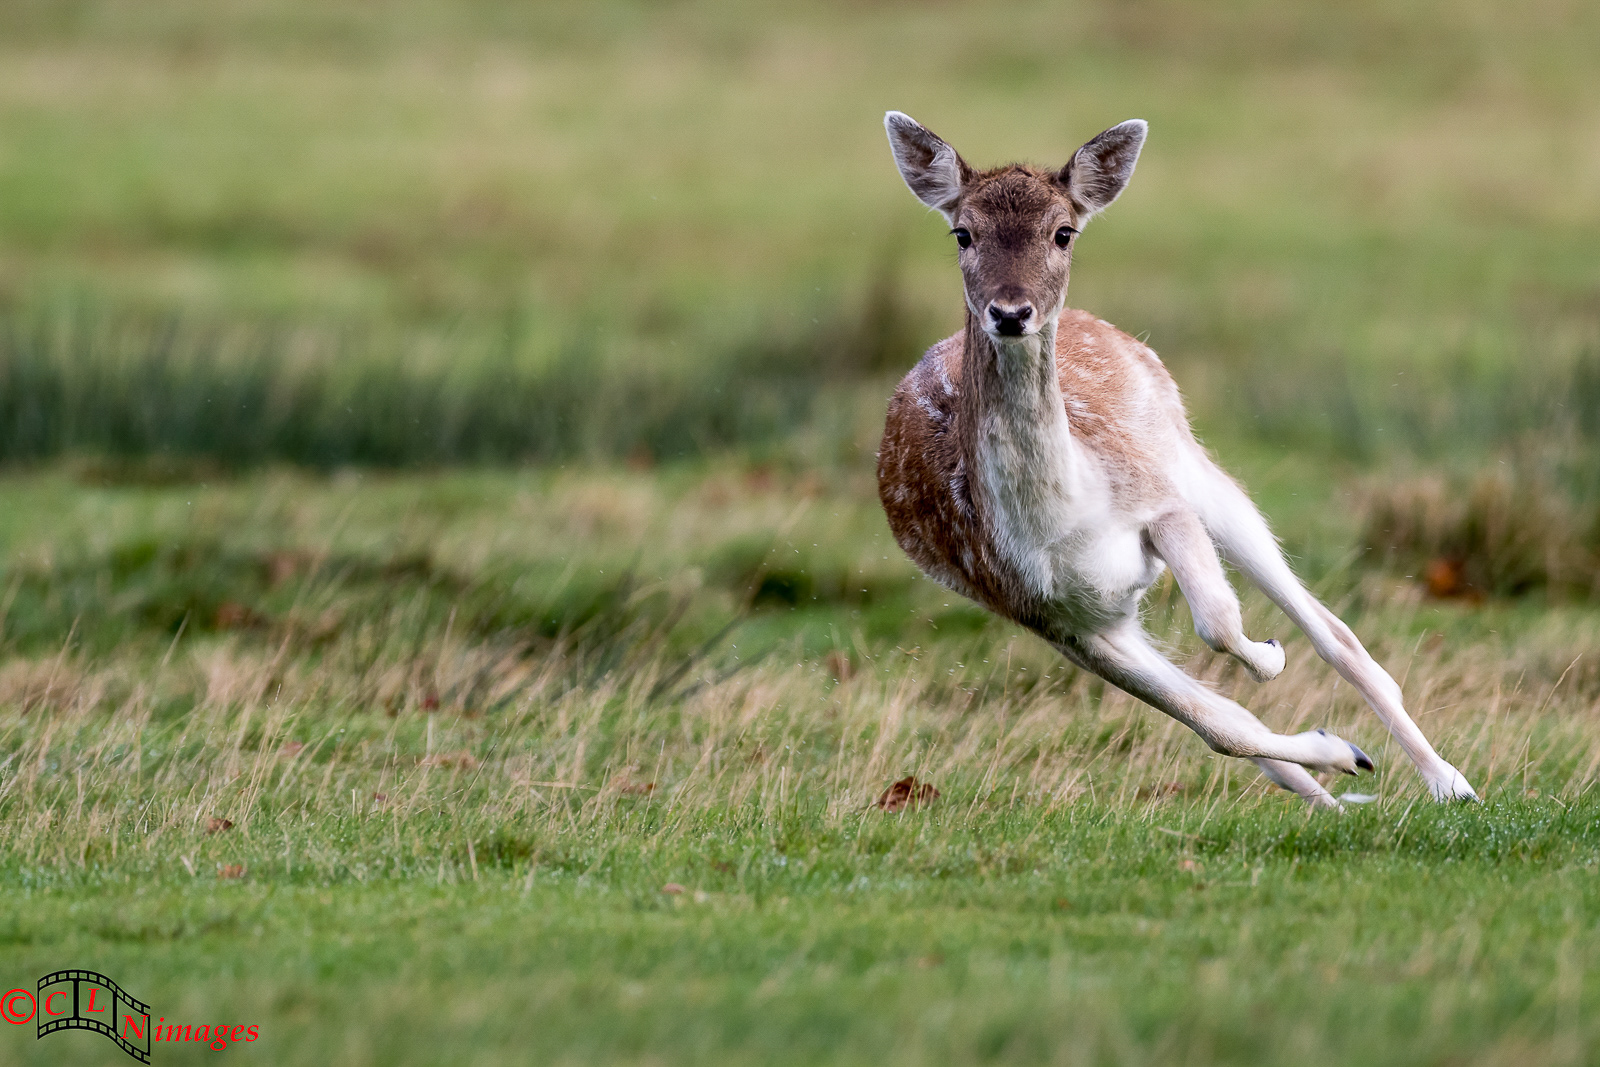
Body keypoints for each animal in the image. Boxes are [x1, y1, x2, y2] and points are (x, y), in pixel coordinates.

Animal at [876, 112, 1479, 807]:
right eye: (962, 232)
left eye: (1063, 231)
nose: (1010, 312)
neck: (1061, 523)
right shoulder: (1050, 616)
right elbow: (1222, 727)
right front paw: (1343, 754)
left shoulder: (1159, 501)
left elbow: (1218, 622)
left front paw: (1273, 655)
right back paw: (1334, 789)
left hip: (1198, 467)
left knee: (1339, 638)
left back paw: (1450, 783)